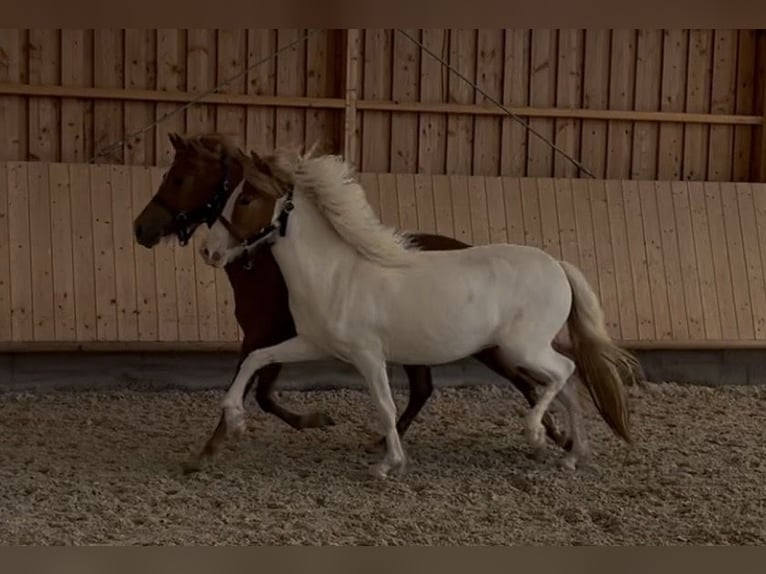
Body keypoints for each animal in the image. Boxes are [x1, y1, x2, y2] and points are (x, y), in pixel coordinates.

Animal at [200, 149, 641, 478]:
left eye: (245, 198)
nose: (209, 251)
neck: (335, 274)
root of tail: (558, 265)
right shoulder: (312, 343)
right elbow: (257, 358)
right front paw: (235, 418)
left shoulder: (367, 354)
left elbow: (385, 405)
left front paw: (387, 464)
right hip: (525, 351)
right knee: (566, 383)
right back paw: (572, 455)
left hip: (523, 349)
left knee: (565, 371)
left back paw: (536, 434)